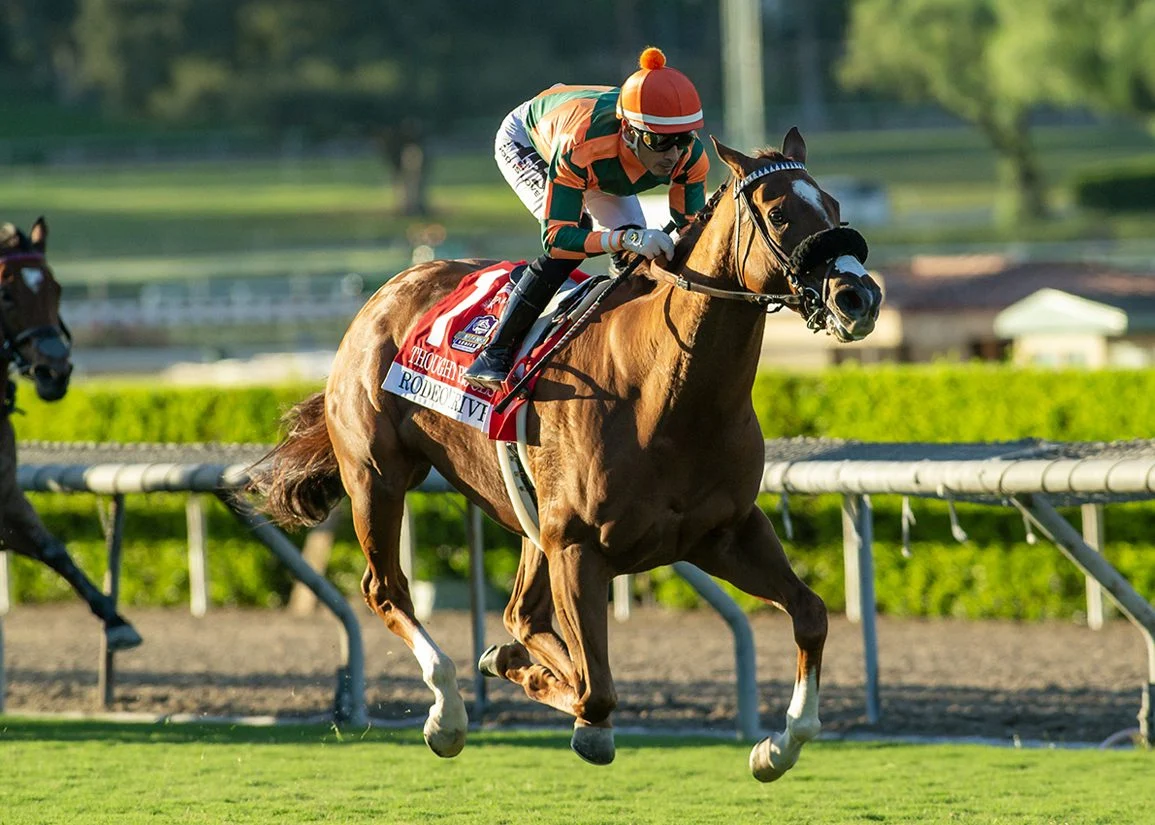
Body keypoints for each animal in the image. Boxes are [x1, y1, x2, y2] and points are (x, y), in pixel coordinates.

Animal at [0, 219, 142, 651]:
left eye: (56, 289)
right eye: (5, 293)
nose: (55, 372)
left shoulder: (7, 493)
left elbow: (53, 548)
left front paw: (116, 620)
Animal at [247, 129, 882, 781]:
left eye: (834, 205)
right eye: (779, 214)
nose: (858, 296)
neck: (666, 393)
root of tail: (385, 293)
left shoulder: (724, 532)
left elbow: (811, 611)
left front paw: (777, 746)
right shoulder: (578, 547)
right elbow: (595, 691)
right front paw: (563, 705)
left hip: (528, 517)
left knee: (520, 616)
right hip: (377, 477)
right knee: (387, 590)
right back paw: (448, 712)